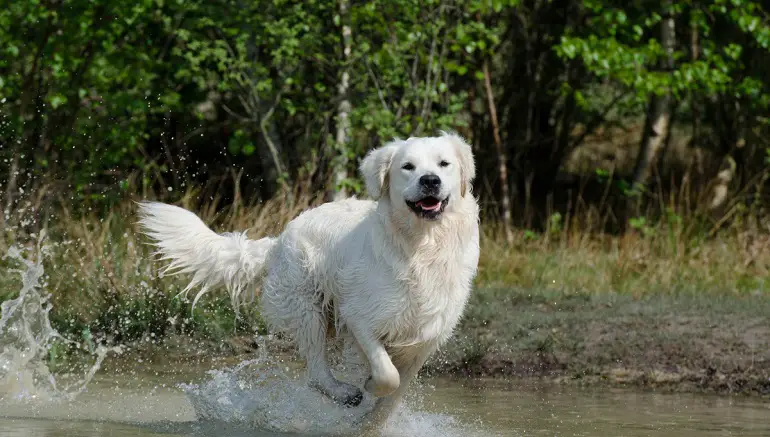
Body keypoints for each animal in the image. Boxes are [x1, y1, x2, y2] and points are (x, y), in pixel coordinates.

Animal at [135, 132, 476, 426]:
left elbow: (393, 397)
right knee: (315, 371)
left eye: (444, 164)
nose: (430, 180)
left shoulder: (425, 339)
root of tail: (279, 240)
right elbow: (386, 375)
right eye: (408, 167)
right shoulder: (359, 317)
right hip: (308, 307)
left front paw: (370, 424)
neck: (422, 246)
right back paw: (343, 392)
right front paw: (366, 388)